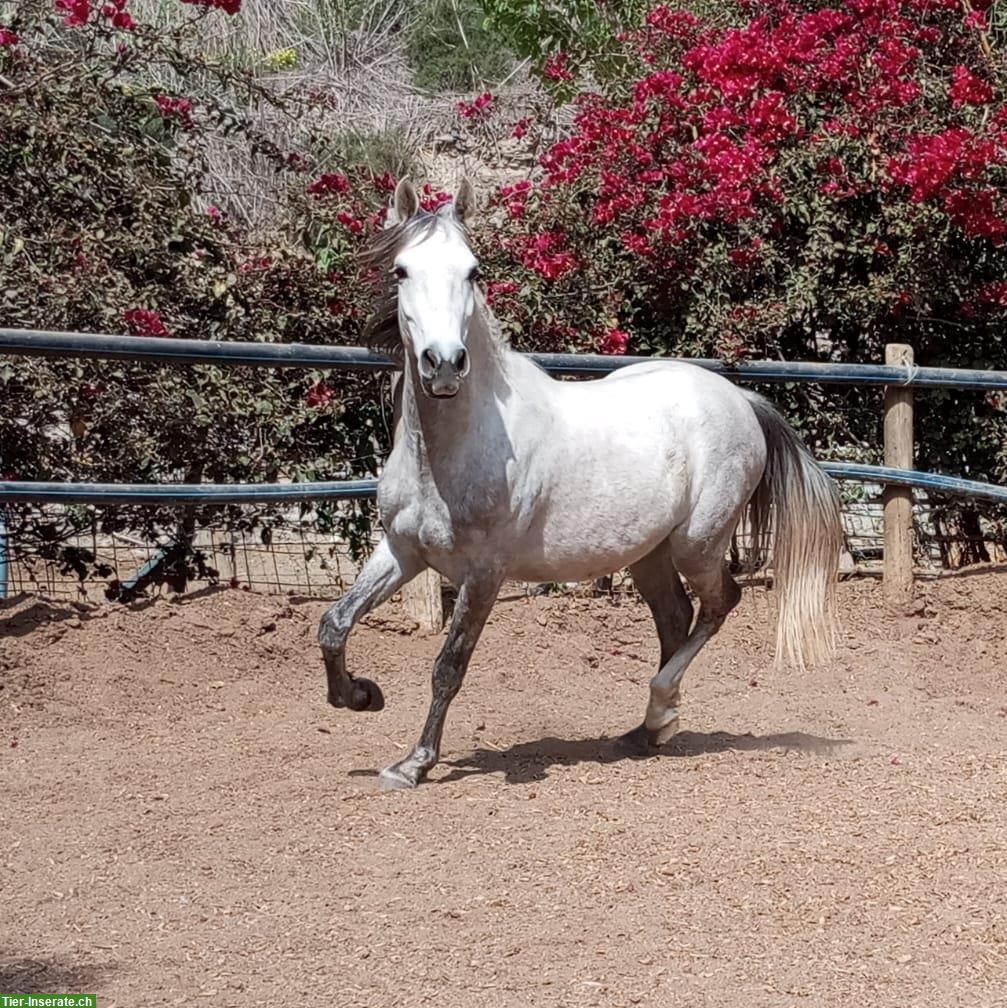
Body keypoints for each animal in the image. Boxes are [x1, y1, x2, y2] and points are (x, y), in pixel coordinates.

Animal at [318, 183, 838, 794]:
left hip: (698, 543)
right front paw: (360, 696)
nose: (444, 364)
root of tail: (740, 398)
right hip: (649, 553)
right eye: (401, 270)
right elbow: (333, 625)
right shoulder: (402, 551)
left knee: (718, 604)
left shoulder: (484, 573)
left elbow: (448, 666)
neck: (449, 454)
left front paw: (414, 763)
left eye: (473, 270)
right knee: (674, 617)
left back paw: (660, 709)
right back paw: (647, 731)